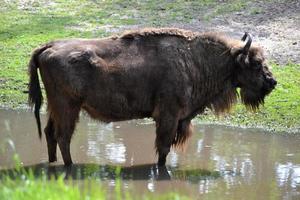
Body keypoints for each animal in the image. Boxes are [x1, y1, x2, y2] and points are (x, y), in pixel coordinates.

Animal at [28, 27, 276, 166]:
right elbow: (163, 148)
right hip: (68, 107)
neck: (193, 60)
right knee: (63, 137)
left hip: (56, 108)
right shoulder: (168, 117)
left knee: (50, 134)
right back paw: (70, 167)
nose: (272, 82)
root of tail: (47, 47)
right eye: (255, 63)